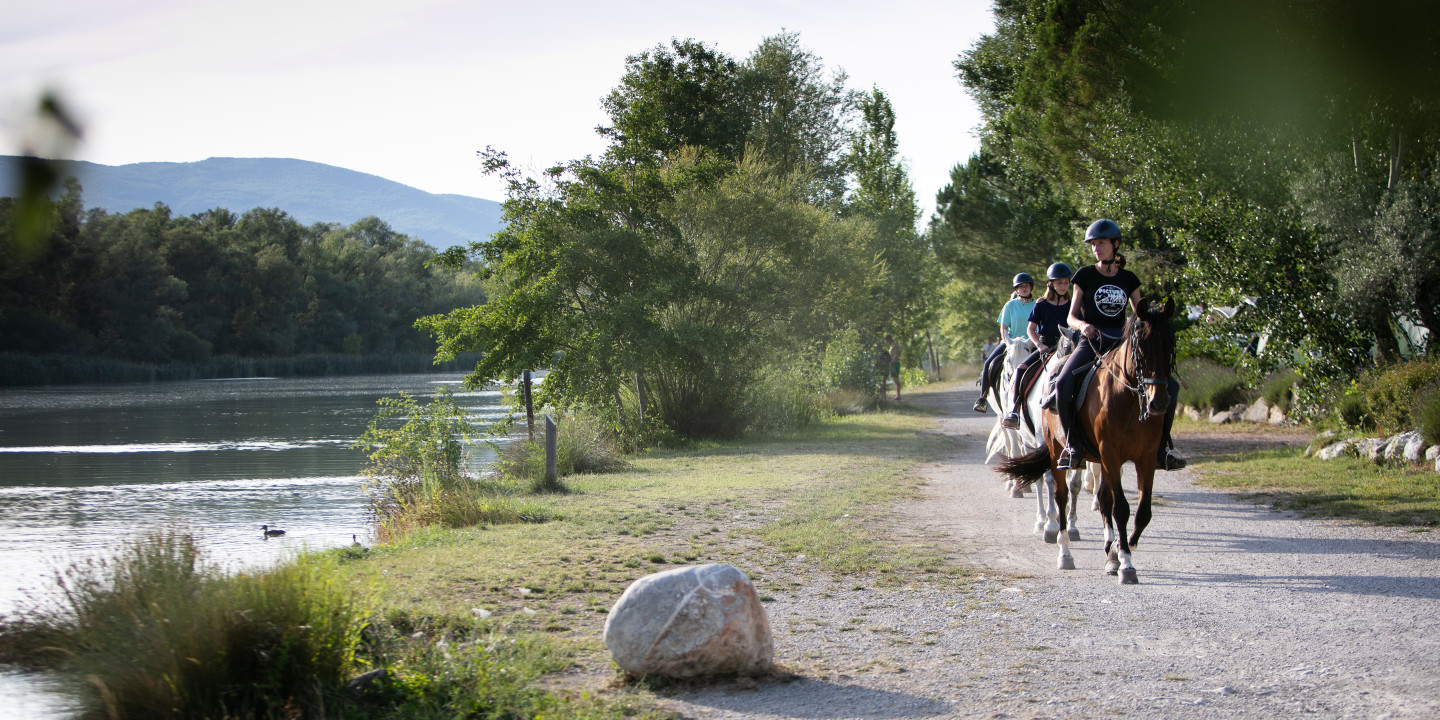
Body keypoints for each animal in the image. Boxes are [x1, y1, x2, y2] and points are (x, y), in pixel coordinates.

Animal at [996, 298, 1175, 584]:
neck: (1127, 400)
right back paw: (1062, 547)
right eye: (1140, 347)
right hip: (1052, 447)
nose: (1158, 402)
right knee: (1058, 493)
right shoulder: (1110, 455)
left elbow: (1141, 511)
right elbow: (1120, 508)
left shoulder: (1144, 459)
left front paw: (1119, 550)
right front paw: (1126, 564)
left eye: (1170, 344)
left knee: (1097, 496)